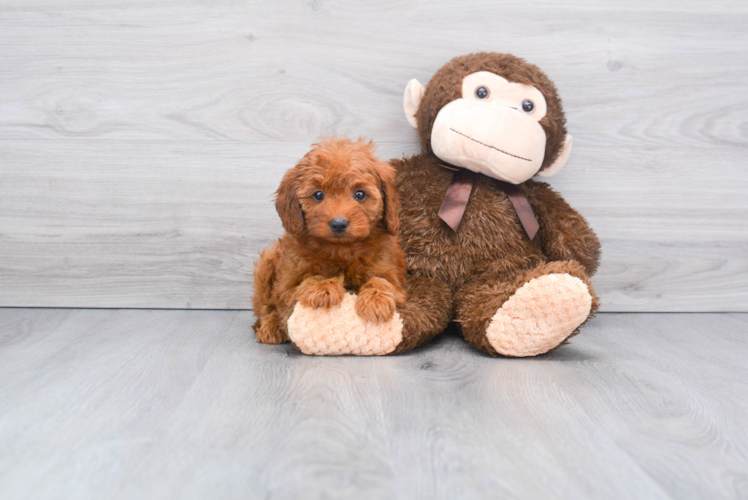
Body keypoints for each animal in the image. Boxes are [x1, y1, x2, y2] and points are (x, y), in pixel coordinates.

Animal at [251, 139, 406, 346]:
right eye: (318, 195)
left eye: (360, 194)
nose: (338, 224)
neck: (340, 250)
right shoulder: (286, 287)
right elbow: (307, 280)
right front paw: (323, 287)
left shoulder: (393, 278)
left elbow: (382, 281)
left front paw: (376, 301)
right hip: (267, 264)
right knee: (265, 306)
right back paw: (270, 327)